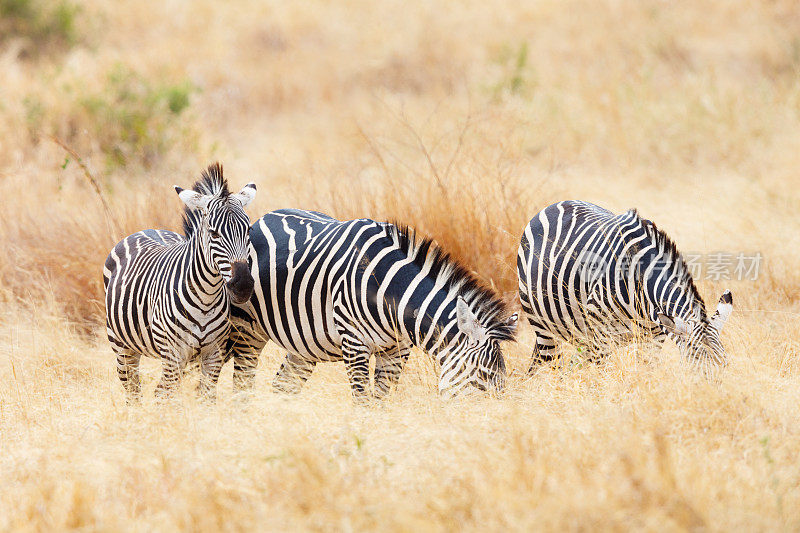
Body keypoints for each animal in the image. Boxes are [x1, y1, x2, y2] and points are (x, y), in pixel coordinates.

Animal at [104, 162, 256, 400]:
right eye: (213, 233)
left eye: (248, 230)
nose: (243, 286)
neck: (206, 298)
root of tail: (148, 229)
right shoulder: (173, 350)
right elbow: (169, 396)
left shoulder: (214, 352)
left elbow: (206, 397)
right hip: (122, 346)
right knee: (134, 390)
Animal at [225, 210, 520, 396]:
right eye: (484, 375)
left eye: (503, 380)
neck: (391, 293)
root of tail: (265, 216)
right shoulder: (354, 343)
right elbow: (363, 402)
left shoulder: (397, 351)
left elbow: (380, 400)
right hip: (247, 328)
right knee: (242, 382)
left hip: (303, 343)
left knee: (284, 386)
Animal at [516, 200, 736, 374]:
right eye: (697, 368)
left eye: (725, 365)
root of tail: (556, 204)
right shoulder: (601, 337)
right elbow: (602, 378)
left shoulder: (654, 337)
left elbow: (647, 370)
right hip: (540, 322)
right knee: (549, 362)